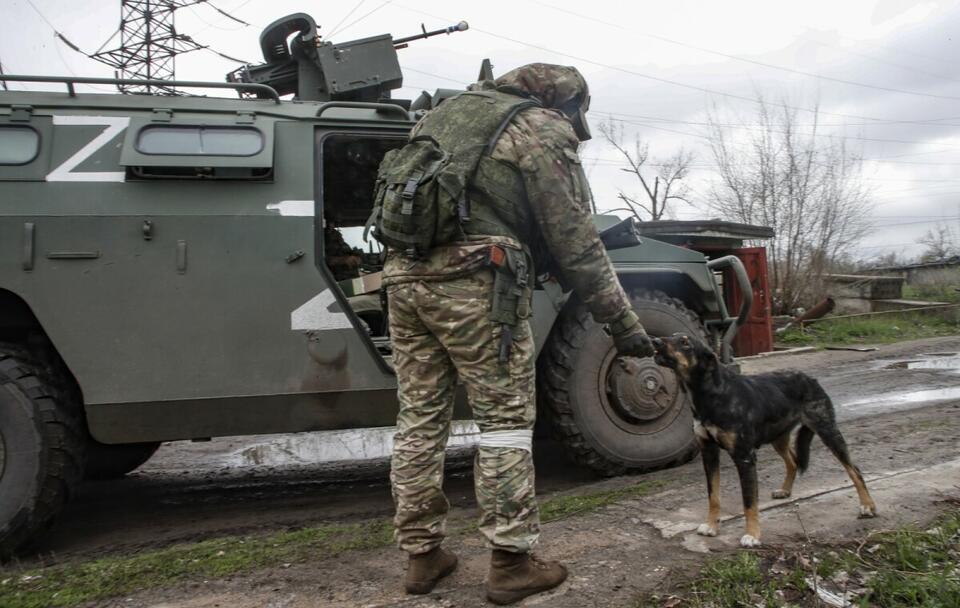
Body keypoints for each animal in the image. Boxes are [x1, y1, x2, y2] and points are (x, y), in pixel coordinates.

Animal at [652, 332, 876, 548]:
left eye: (685, 343)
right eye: (673, 335)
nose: (654, 341)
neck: (710, 394)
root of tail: (810, 378)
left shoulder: (744, 456)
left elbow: (749, 501)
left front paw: (752, 535)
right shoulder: (709, 452)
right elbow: (713, 496)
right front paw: (711, 526)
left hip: (827, 430)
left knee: (854, 469)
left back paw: (867, 506)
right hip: (779, 438)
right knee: (793, 462)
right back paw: (785, 490)